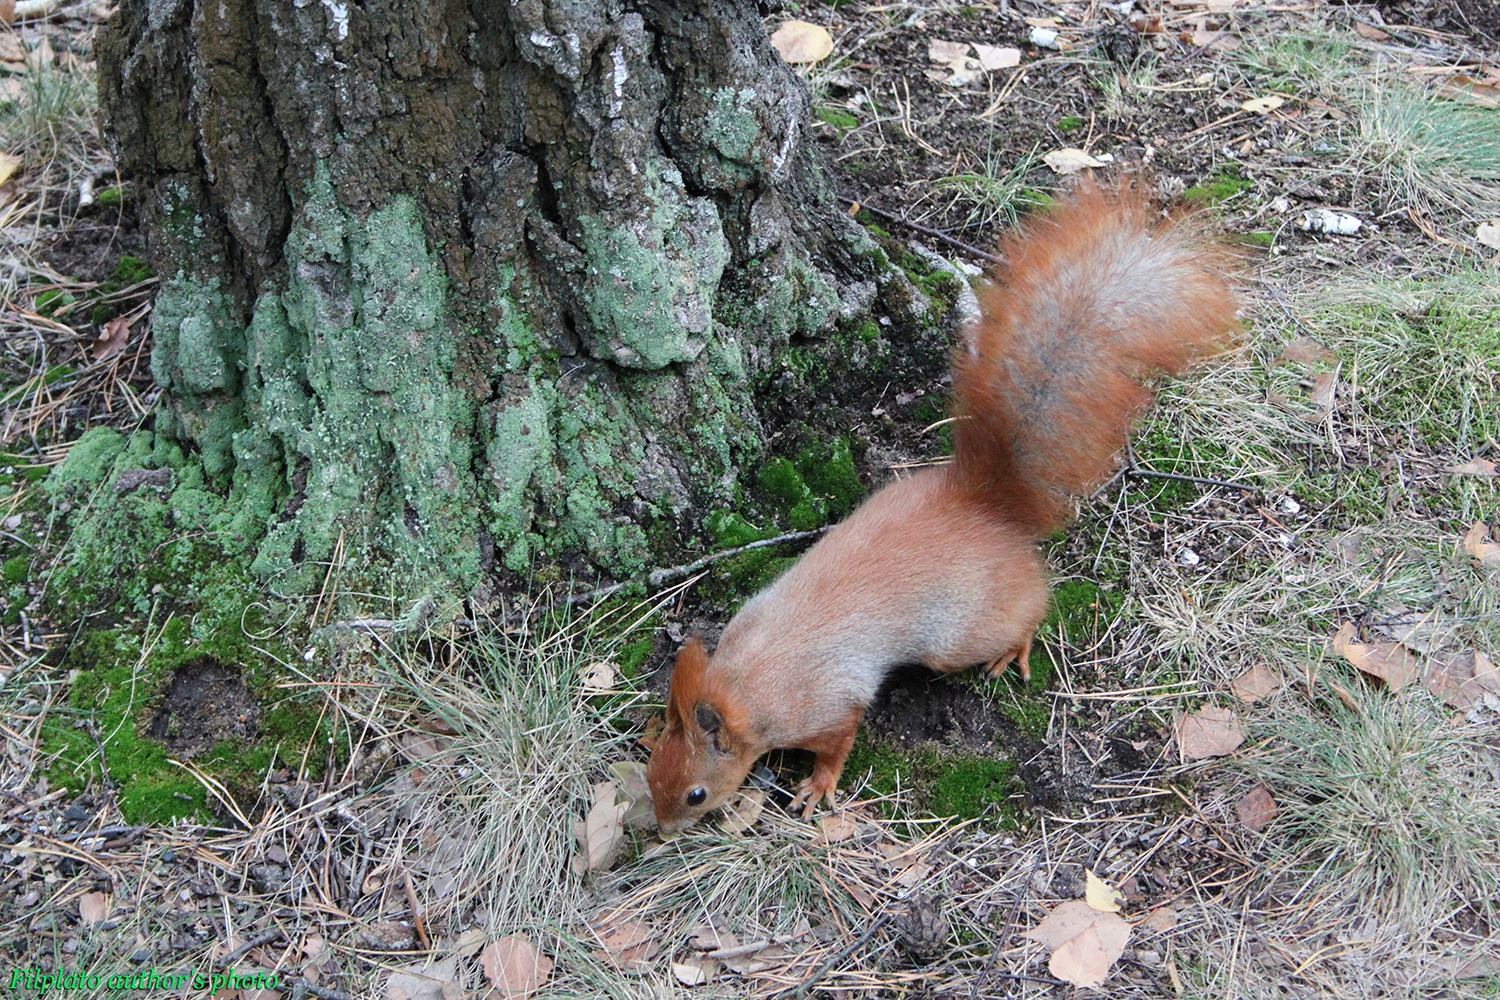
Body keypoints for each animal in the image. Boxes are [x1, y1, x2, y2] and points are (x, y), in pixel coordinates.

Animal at [644, 179, 1239, 835]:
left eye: (696, 793)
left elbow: (840, 740)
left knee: (1031, 605)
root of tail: (983, 507)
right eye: (651, 771)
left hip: (955, 636)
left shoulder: (829, 705)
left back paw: (1013, 649)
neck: (745, 682)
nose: (660, 830)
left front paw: (818, 785)